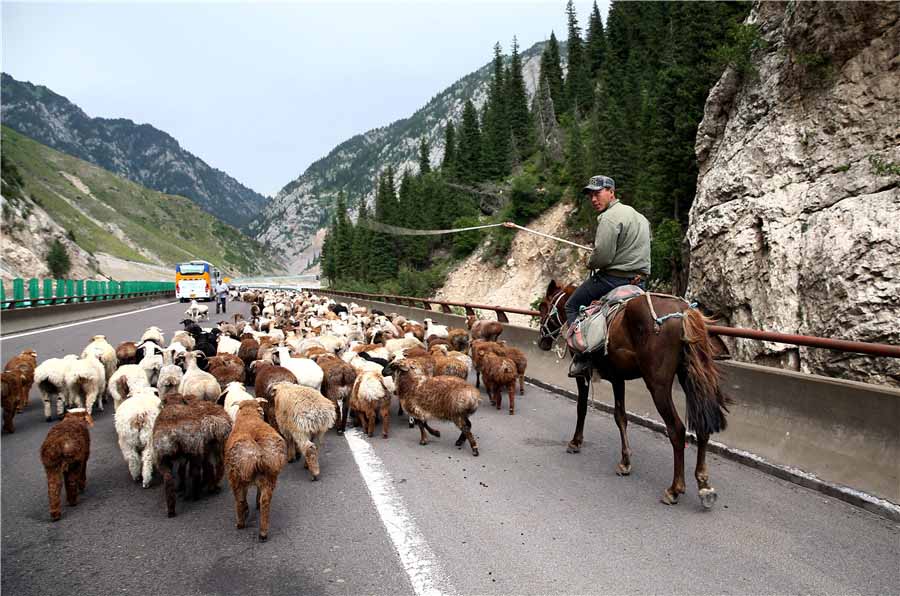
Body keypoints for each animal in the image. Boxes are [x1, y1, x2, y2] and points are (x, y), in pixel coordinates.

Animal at [224, 398, 284, 544]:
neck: (249, 417)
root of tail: (258, 451)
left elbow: (243, 497)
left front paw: (246, 510)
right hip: (270, 476)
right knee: (265, 501)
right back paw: (263, 533)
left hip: (235, 476)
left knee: (239, 499)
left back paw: (240, 523)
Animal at [536, 280, 728, 508]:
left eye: (544, 307)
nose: (542, 341)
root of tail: (684, 312)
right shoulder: (618, 378)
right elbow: (621, 417)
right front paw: (625, 461)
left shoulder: (588, 376)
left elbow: (583, 407)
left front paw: (576, 442)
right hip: (689, 376)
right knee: (702, 425)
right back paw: (704, 485)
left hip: (658, 384)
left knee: (677, 429)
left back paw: (674, 489)